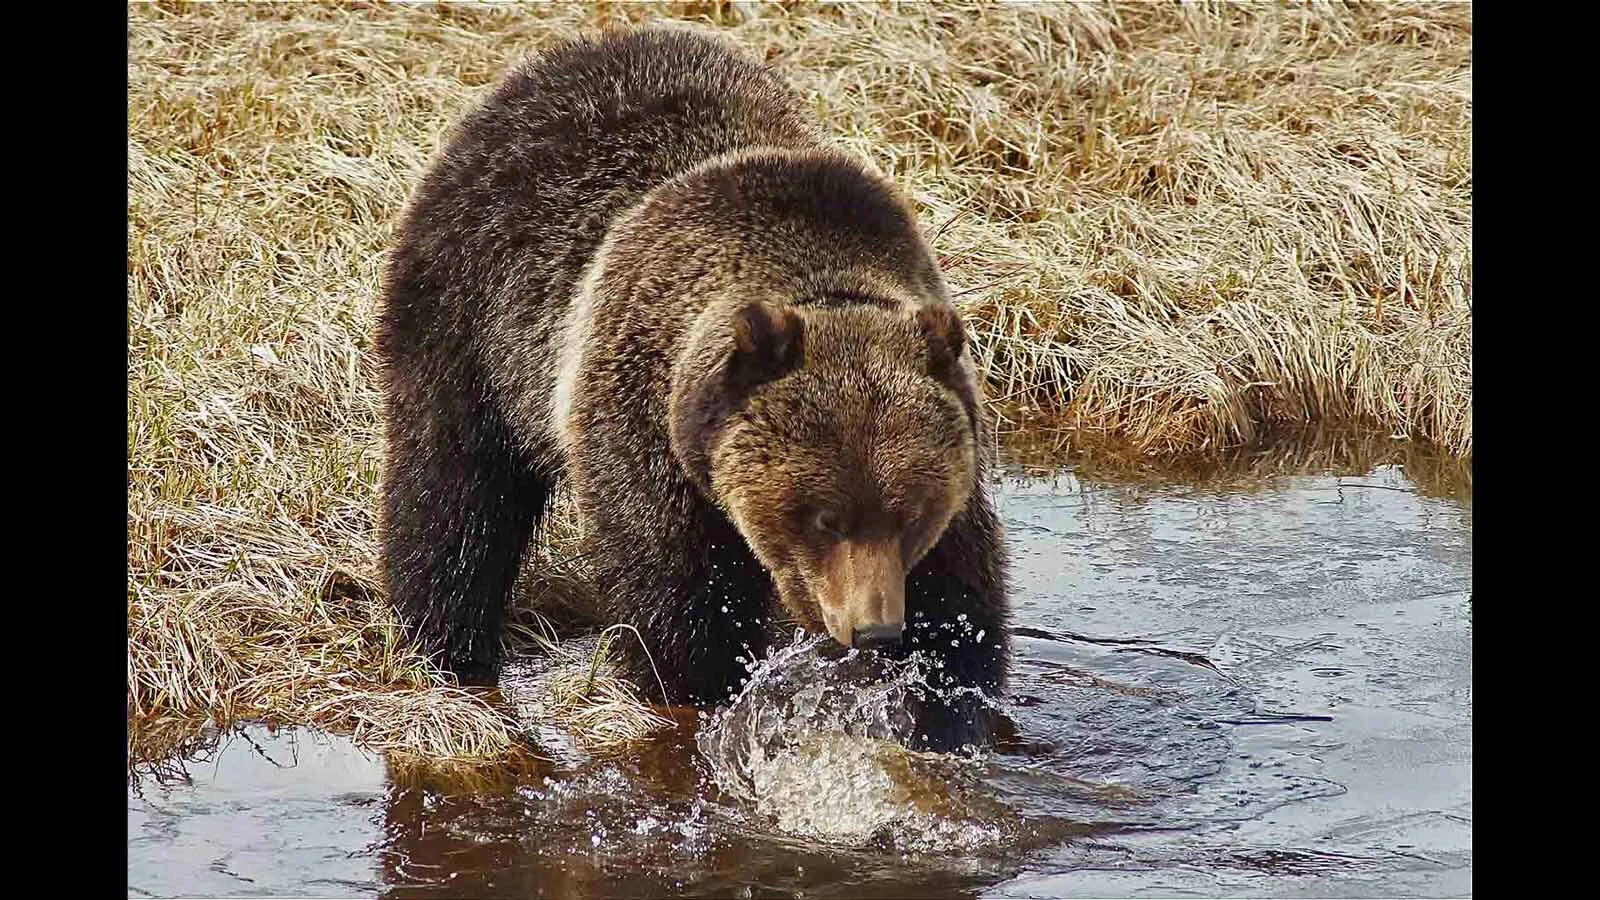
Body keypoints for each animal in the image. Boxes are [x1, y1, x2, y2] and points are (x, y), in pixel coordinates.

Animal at [376, 26, 1009, 752]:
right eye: (824, 517)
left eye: (910, 514)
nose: (873, 627)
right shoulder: (643, 421)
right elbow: (677, 597)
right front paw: (697, 688)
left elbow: (960, 602)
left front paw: (942, 704)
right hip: (471, 312)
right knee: (454, 490)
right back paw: (444, 644)